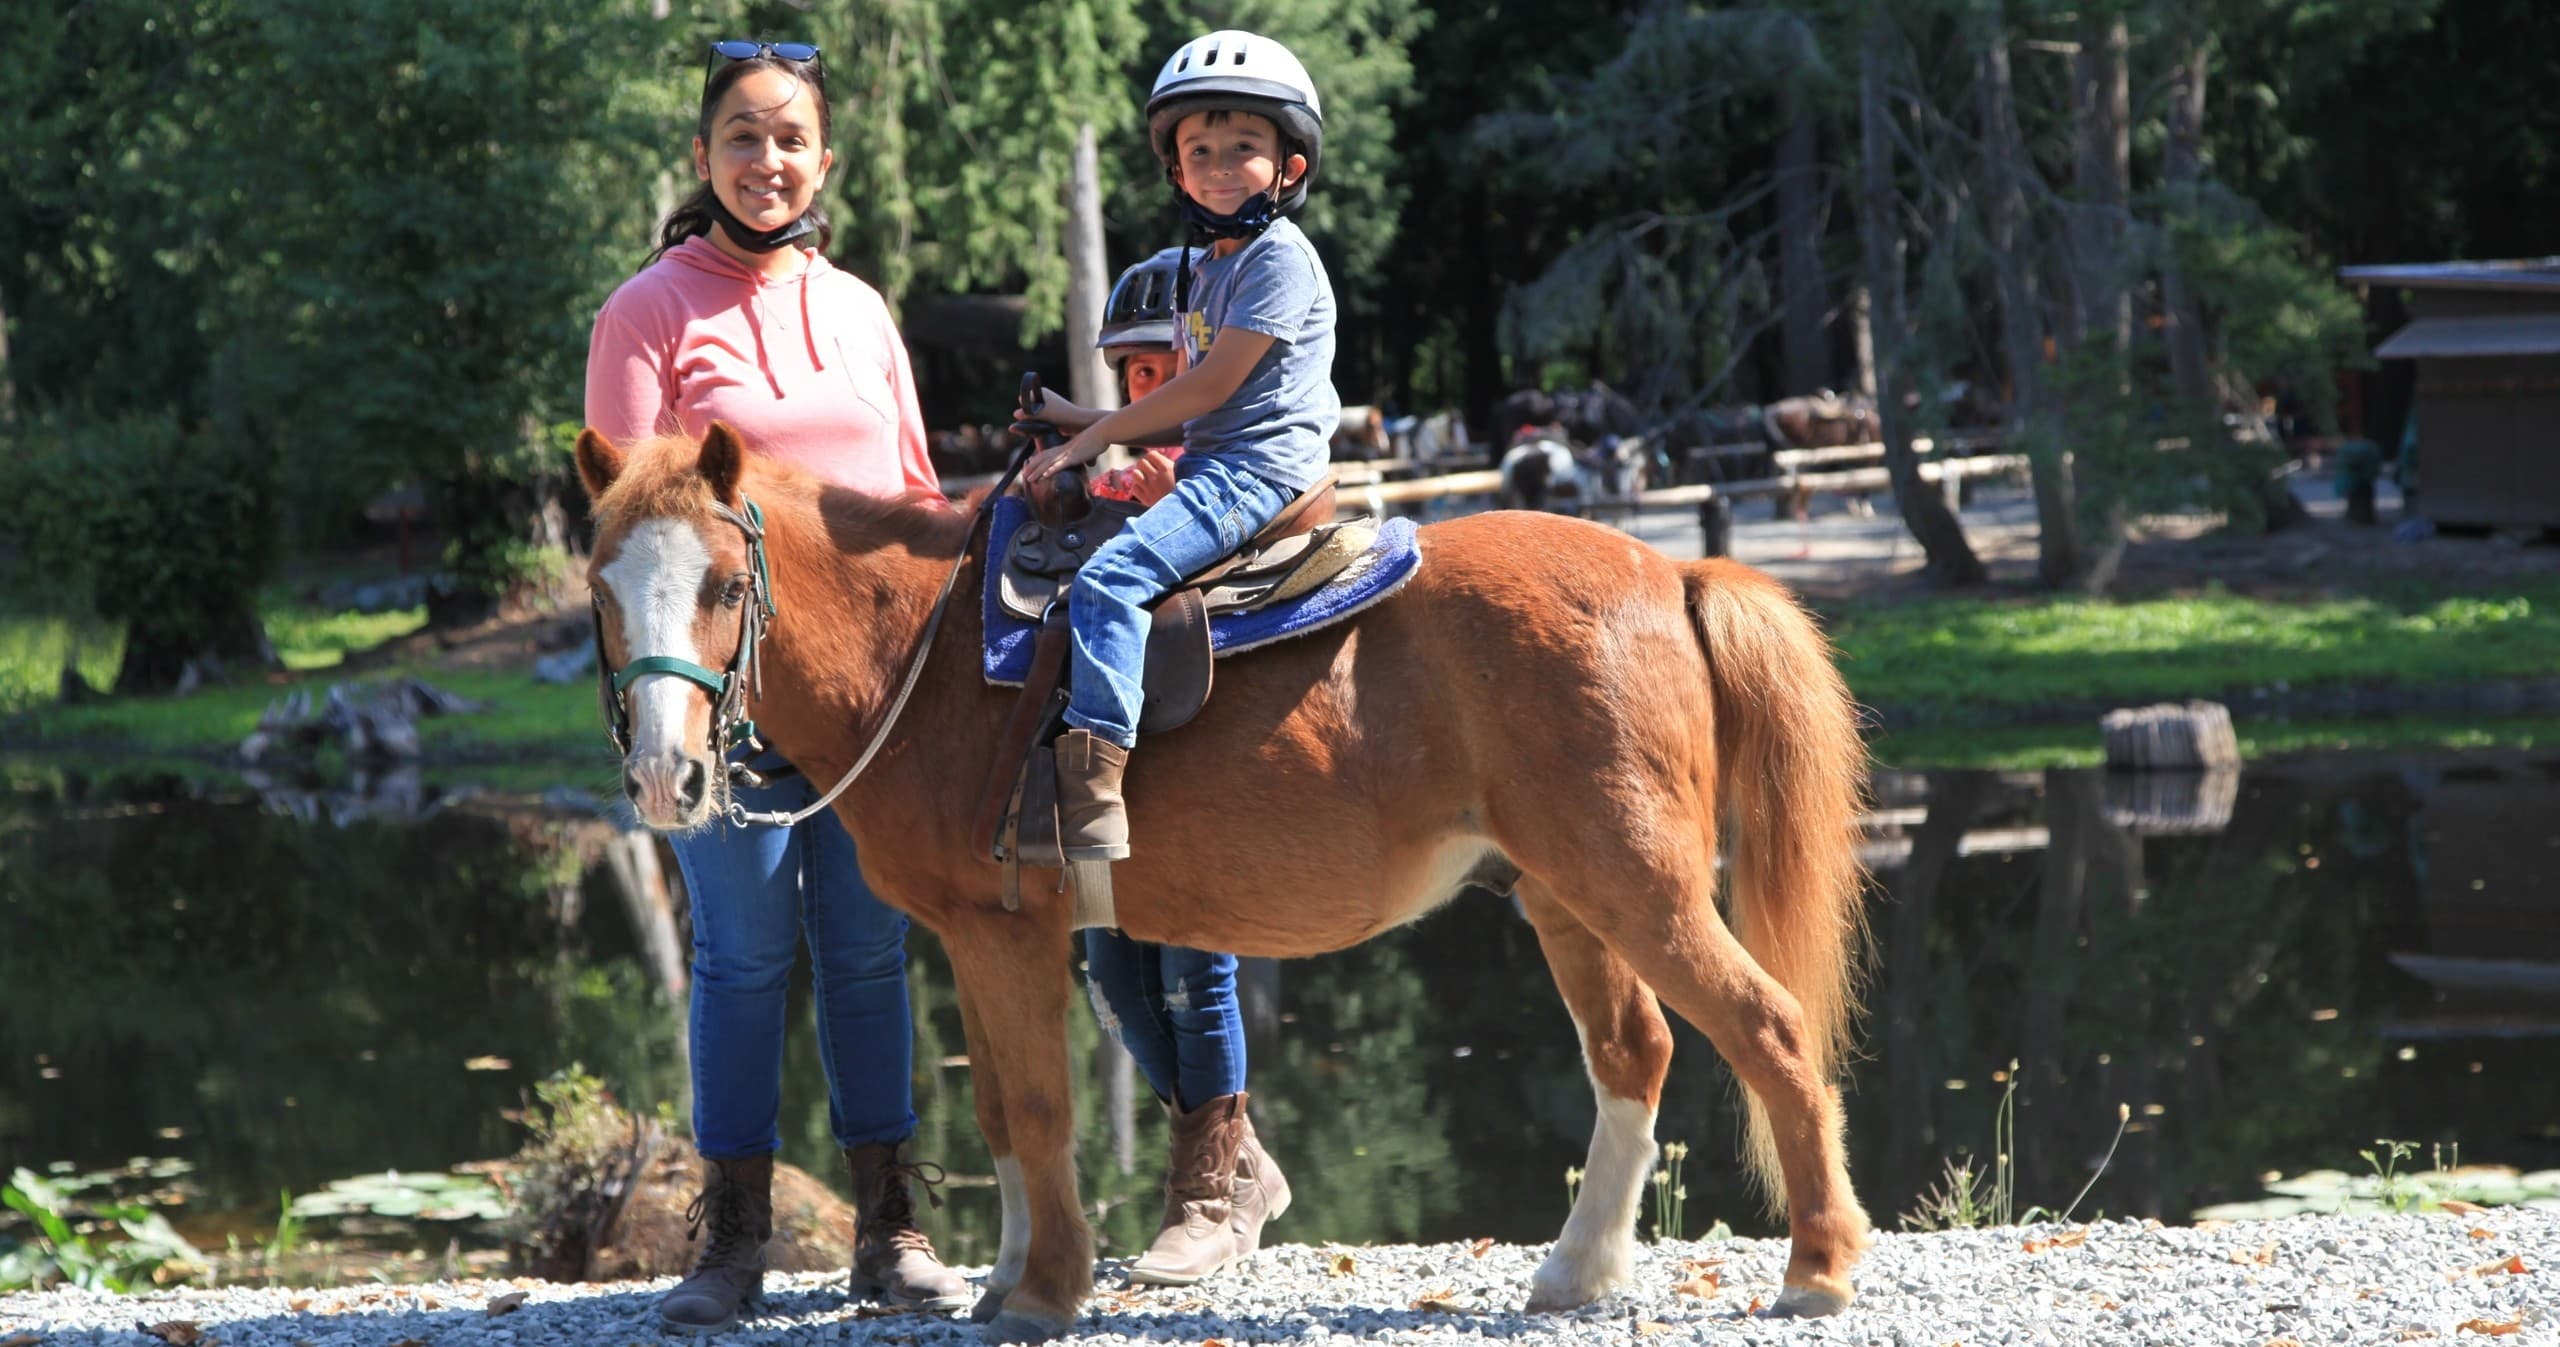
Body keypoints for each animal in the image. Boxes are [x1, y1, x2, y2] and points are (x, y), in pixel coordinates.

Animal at [576, 422, 1873, 1343]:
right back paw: (1576, 1269)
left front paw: (1044, 1292)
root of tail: (1674, 569)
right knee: (1632, 1055)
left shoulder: (1007, 934)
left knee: (1766, 1028)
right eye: (599, 589)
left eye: (723, 586)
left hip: (1640, 886)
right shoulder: (972, 935)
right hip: (1564, 896)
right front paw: (1006, 1280)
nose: (663, 776)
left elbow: (1037, 1110)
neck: (925, 657)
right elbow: (996, 1108)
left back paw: (1814, 1269)